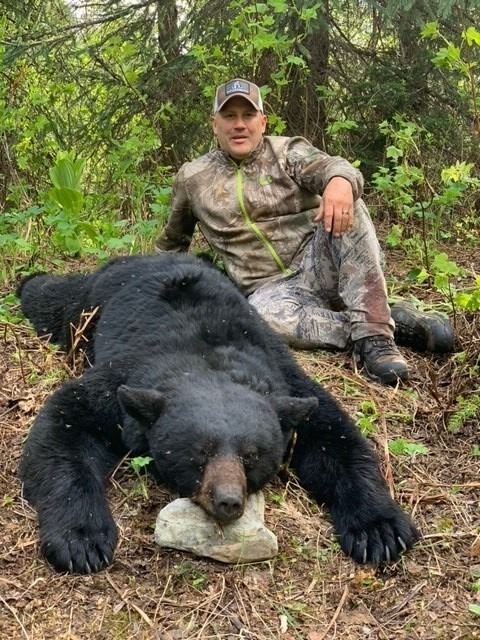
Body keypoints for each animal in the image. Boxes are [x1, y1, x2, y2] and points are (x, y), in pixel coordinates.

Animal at [18, 254, 419, 574]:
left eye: (251, 455)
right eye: (199, 452)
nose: (228, 500)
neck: (207, 358)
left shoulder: (285, 378)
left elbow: (334, 438)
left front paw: (379, 529)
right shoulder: (122, 380)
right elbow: (64, 425)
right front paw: (82, 539)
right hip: (89, 306)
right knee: (52, 300)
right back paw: (29, 279)